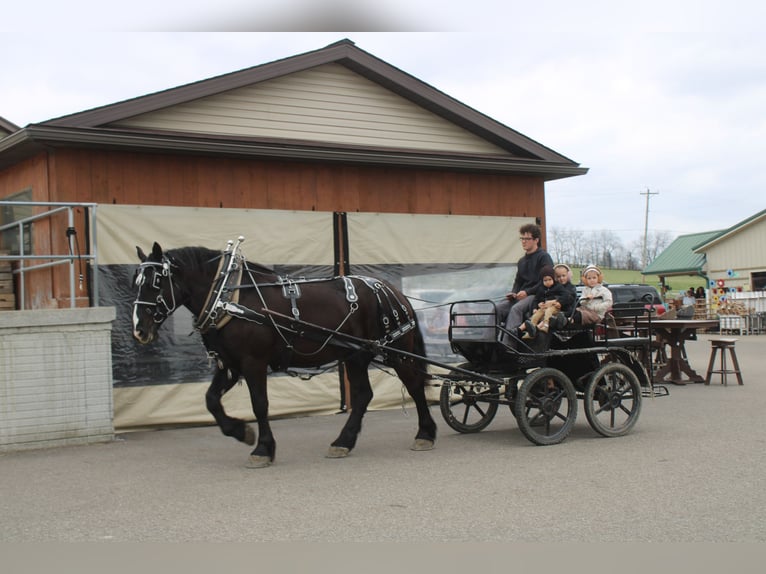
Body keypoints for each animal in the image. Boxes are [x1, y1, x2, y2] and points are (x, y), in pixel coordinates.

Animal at [131, 240, 437, 467]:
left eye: (156, 281)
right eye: (136, 280)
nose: (139, 329)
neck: (228, 297)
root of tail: (392, 291)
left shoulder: (253, 362)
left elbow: (260, 404)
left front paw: (262, 449)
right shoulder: (229, 364)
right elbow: (211, 400)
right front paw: (241, 432)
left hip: (397, 351)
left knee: (414, 386)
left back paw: (425, 433)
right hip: (356, 356)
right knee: (363, 395)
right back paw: (343, 442)